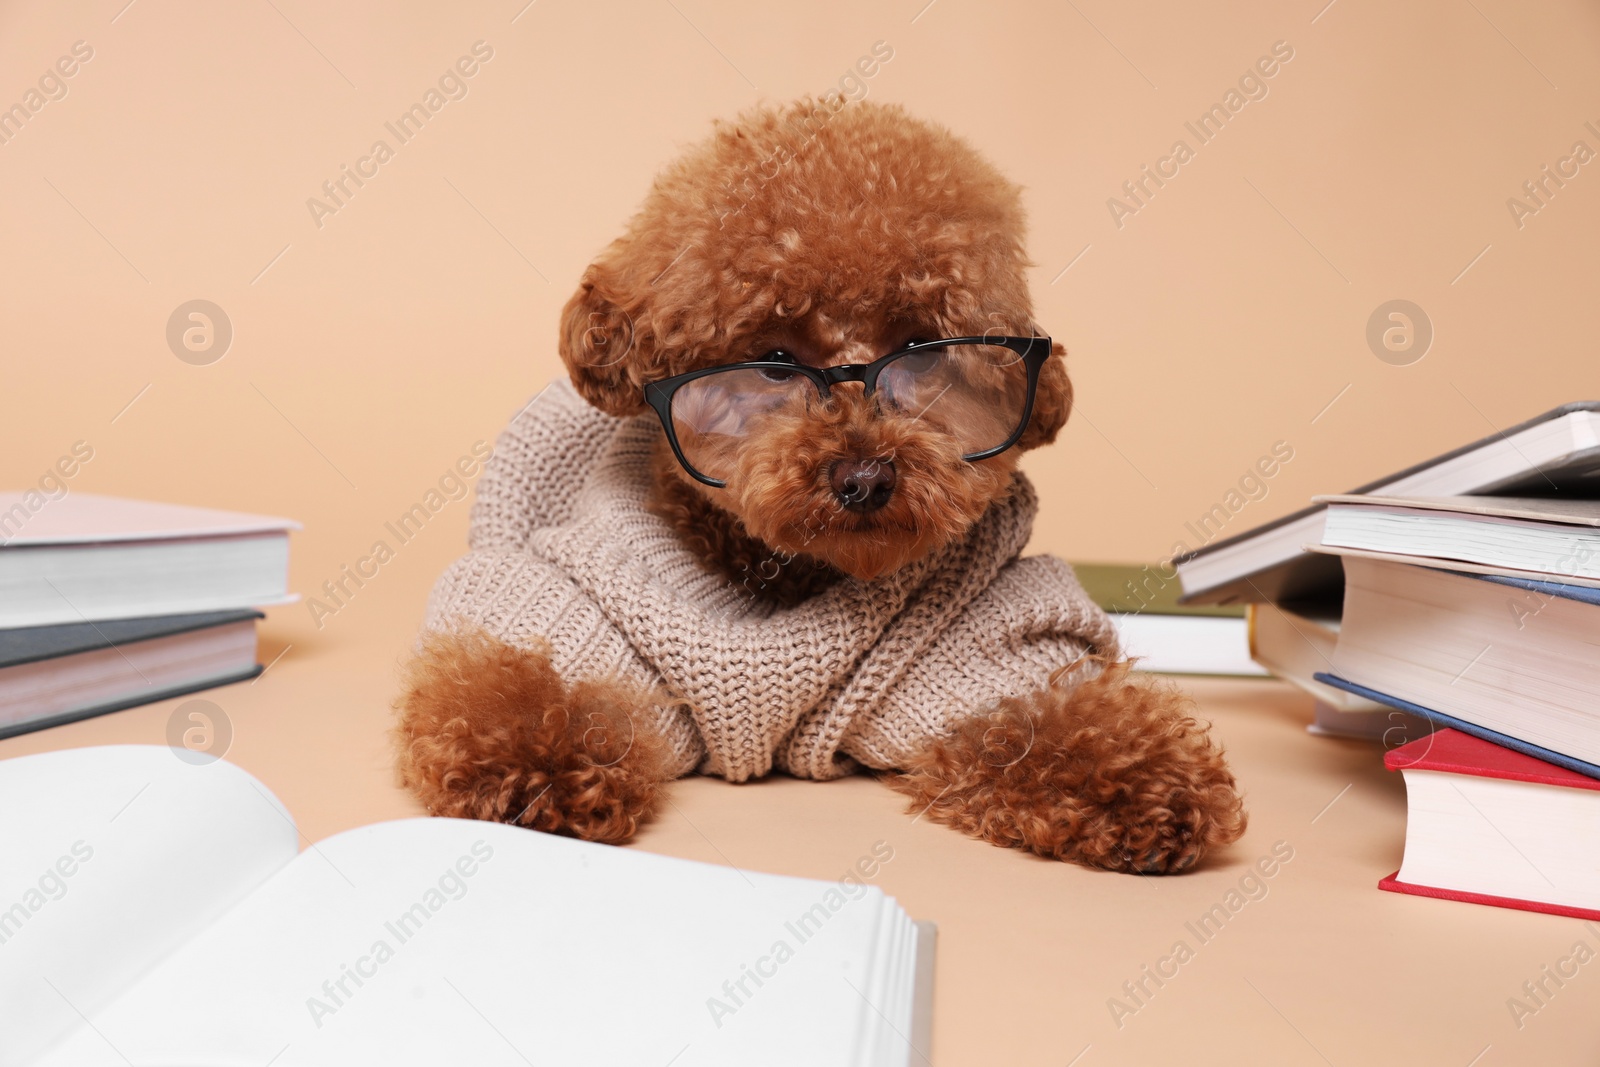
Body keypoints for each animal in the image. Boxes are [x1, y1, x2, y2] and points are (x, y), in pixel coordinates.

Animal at [393, 95, 1241, 870]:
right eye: (772, 358)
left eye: (923, 347)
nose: (864, 477)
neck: (779, 576)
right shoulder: (573, 604)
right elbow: (523, 685)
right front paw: (534, 763)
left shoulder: (974, 649)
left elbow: (1050, 714)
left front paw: (1144, 781)